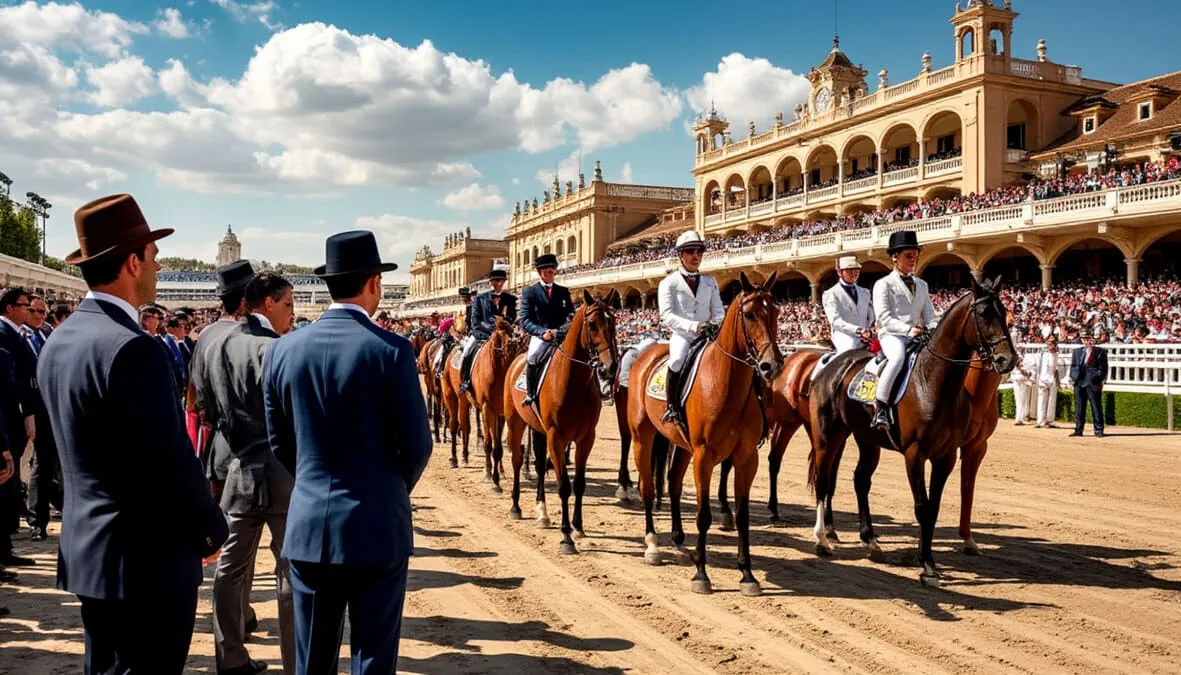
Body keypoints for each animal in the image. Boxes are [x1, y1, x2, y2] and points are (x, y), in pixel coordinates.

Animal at [467, 317, 522, 491]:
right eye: (502, 338)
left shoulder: (502, 412)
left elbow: (498, 447)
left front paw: (497, 479)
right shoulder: (487, 409)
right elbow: (490, 444)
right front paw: (490, 476)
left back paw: (501, 470)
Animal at [503, 290, 619, 554]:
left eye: (614, 323)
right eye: (592, 324)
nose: (610, 368)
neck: (573, 382)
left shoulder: (586, 437)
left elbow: (579, 483)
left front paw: (578, 527)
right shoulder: (556, 435)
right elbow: (564, 485)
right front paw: (566, 537)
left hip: (539, 429)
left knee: (538, 466)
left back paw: (542, 513)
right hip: (515, 422)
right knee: (517, 460)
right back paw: (515, 507)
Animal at [627, 272, 783, 596]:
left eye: (776, 312)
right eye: (749, 314)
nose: (772, 365)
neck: (725, 382)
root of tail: (647, 354)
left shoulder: (746, 456)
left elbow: (742, 514)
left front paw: (747, 574)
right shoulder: (704, 454)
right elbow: (703, 515)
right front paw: (701, 574)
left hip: (681, 445)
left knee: (673, 484)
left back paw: (678, 542)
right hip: (642, 437)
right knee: (648, 488)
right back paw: (652, 545)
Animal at [806, 275, 1016, 586]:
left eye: (1005, 314)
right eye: (983, 314)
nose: (1007, 360)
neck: (933, 383)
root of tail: (832, 364)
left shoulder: (946, 456)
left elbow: (934, 508)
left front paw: (928, 560)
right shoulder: (914, 454)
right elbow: (922, 507)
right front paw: (926, 564)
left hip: (866, 439)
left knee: (860, 480)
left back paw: (871, 542)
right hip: (827, 436)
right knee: (823, 481)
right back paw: (822, 540)